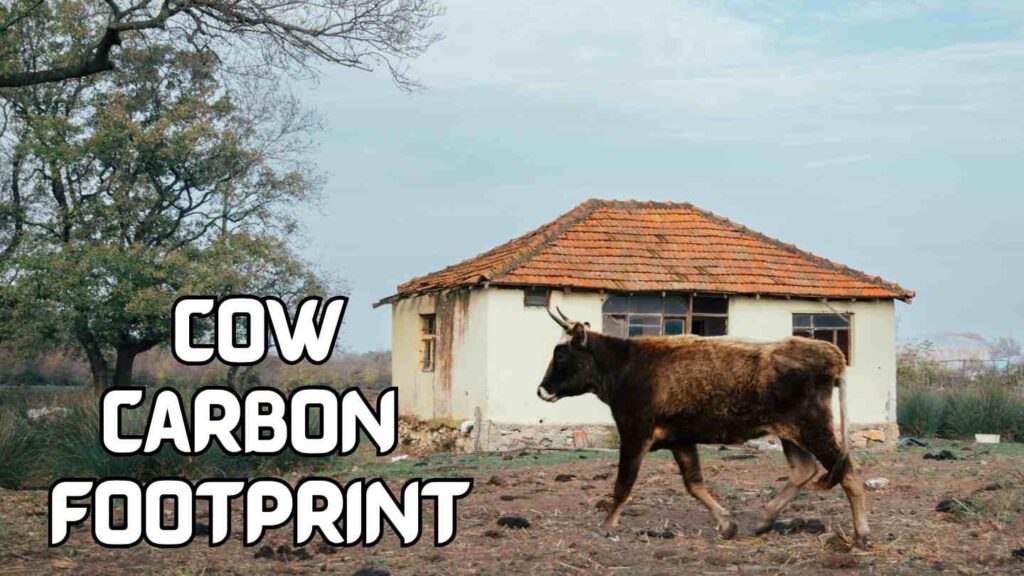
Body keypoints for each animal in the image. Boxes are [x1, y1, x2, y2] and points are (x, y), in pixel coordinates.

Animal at [537, 307, 870, 548]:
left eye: (561, 353)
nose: (541, 390)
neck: (627, 366)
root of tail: (832, 355)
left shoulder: (634, 433)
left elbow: (623, 485)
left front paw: (605, 526)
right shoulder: (680, 440)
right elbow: (694, 483)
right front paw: (726, 524)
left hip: (813, 429)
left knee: (848, 473)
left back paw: (862, 534)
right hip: (792, 435)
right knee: (804, 470)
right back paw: (764, 519)